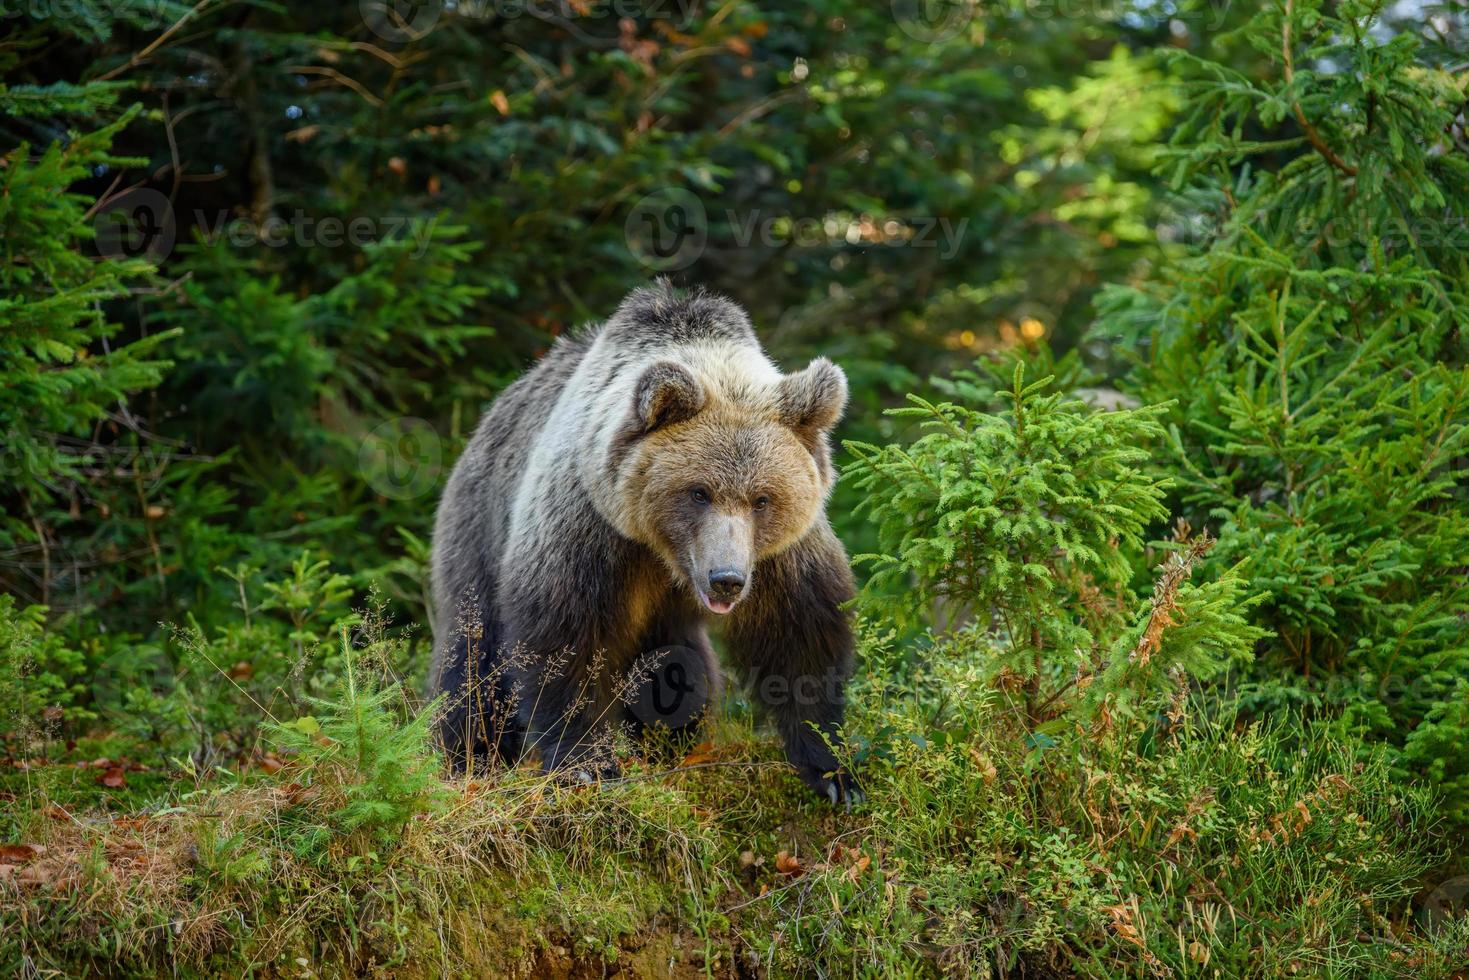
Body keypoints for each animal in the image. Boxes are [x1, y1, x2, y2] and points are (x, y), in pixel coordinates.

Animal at [426, 279, 857, 799]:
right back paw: (470, 754)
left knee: (678, 669)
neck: (663, 553)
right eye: (698, 492)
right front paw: (585, 765)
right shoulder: (590, 526)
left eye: (763, 498)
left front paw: (834, 772)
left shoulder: (779, 555)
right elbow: (565, 636)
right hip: (480, 521)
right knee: (474, 652)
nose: (726, 579)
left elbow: (800, 637)